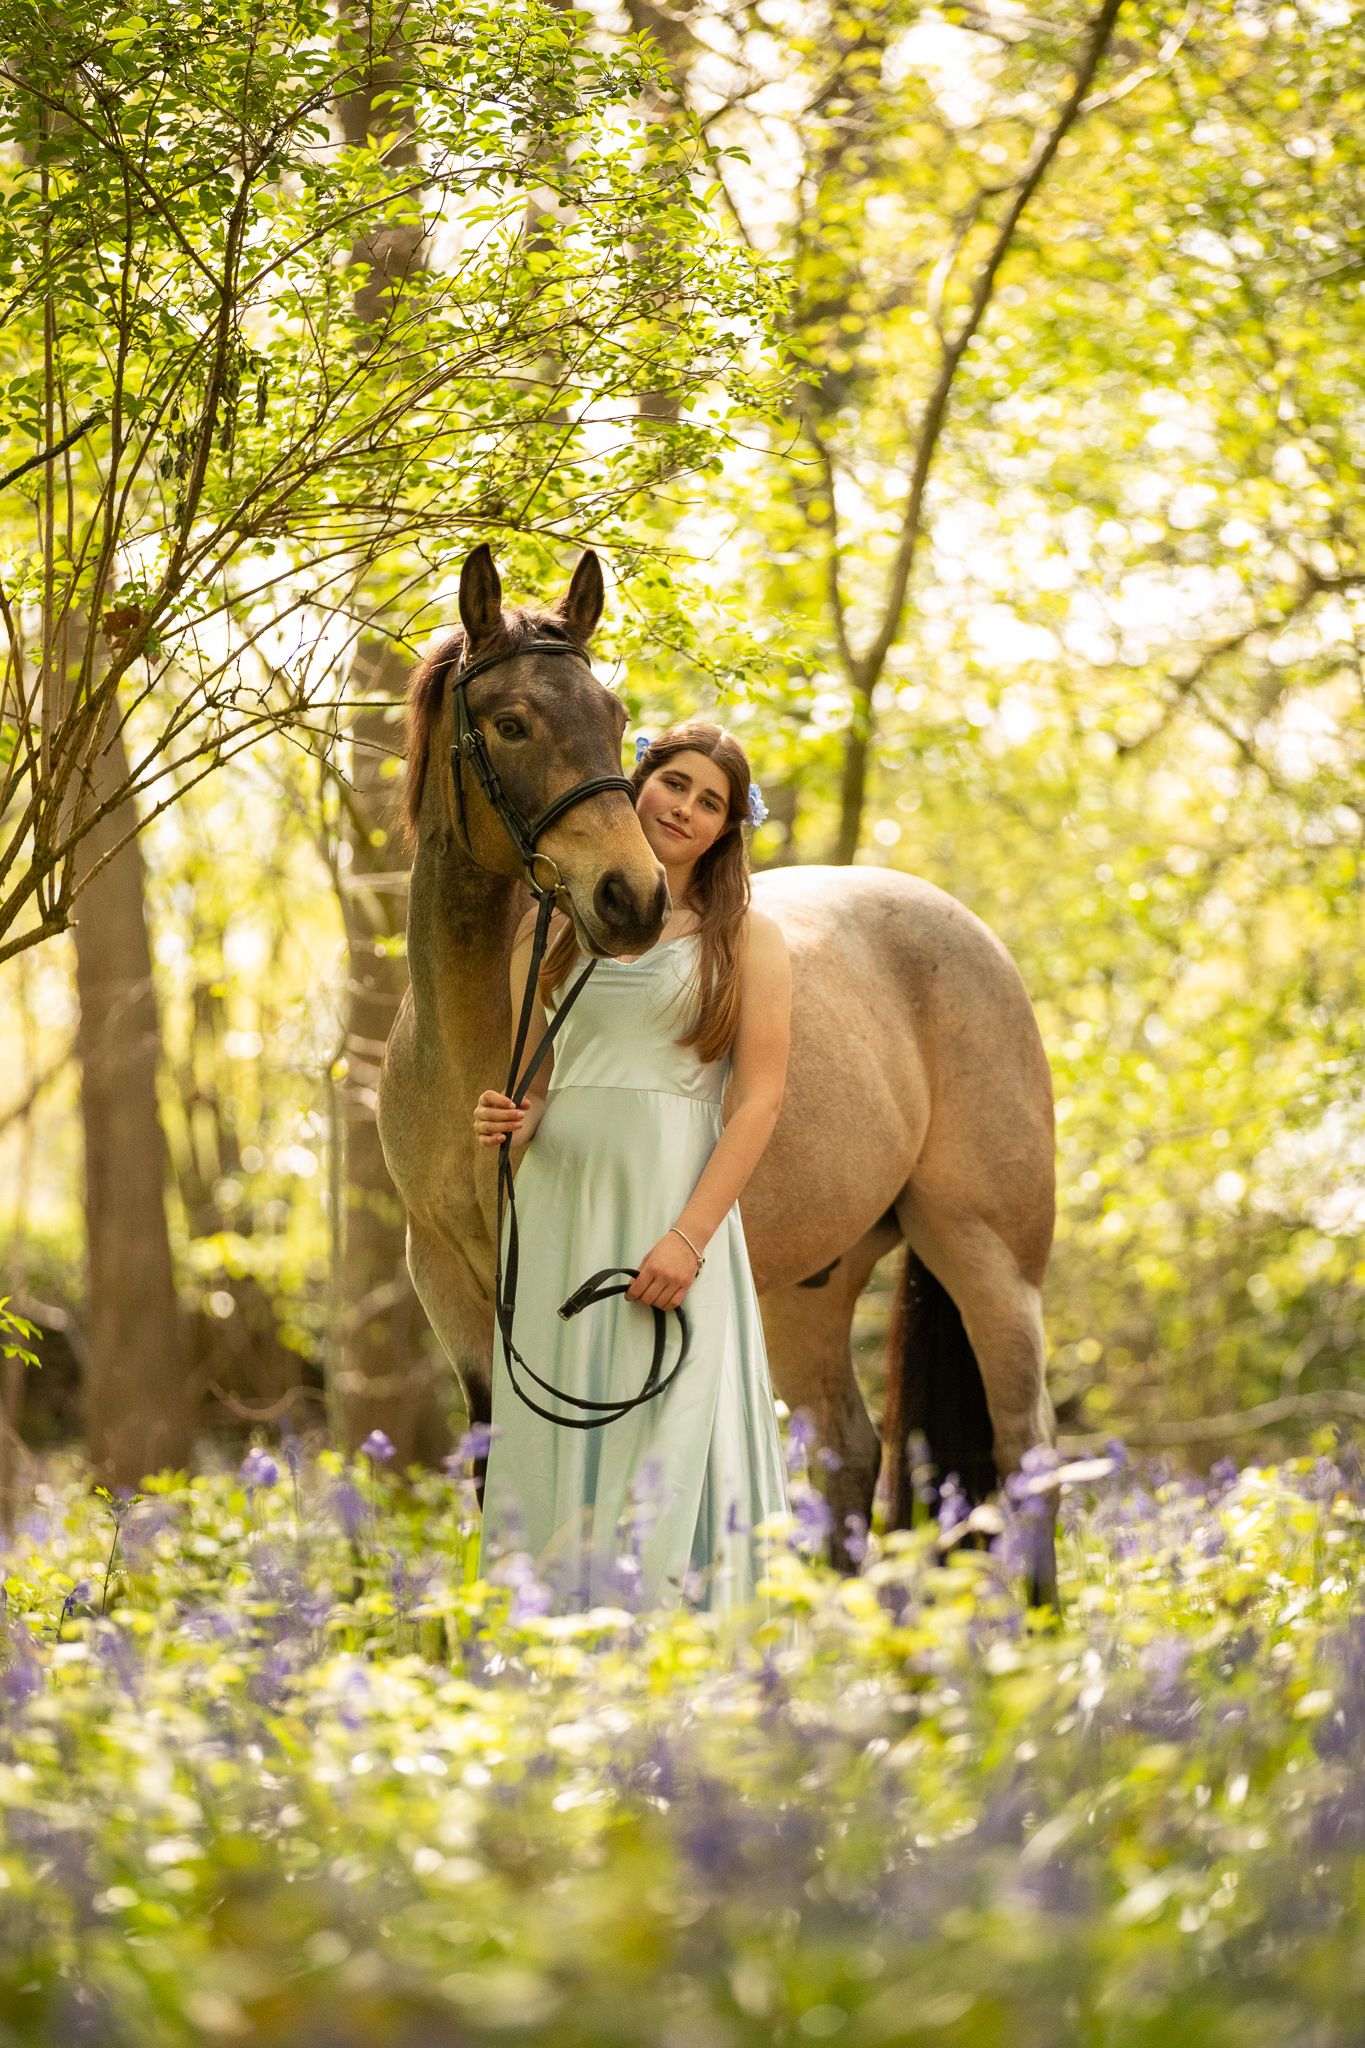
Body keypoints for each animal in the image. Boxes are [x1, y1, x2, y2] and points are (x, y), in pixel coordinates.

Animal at [377, 544, 1058, 1602]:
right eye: (511, 722)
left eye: (615, 715)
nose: (631, 896)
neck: (464, 1049)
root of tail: (964, 929)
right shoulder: (449, 1285)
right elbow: (496, 1483)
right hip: (811, 1286)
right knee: (849, 1455)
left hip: (988, 1255)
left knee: (1028, 1455)